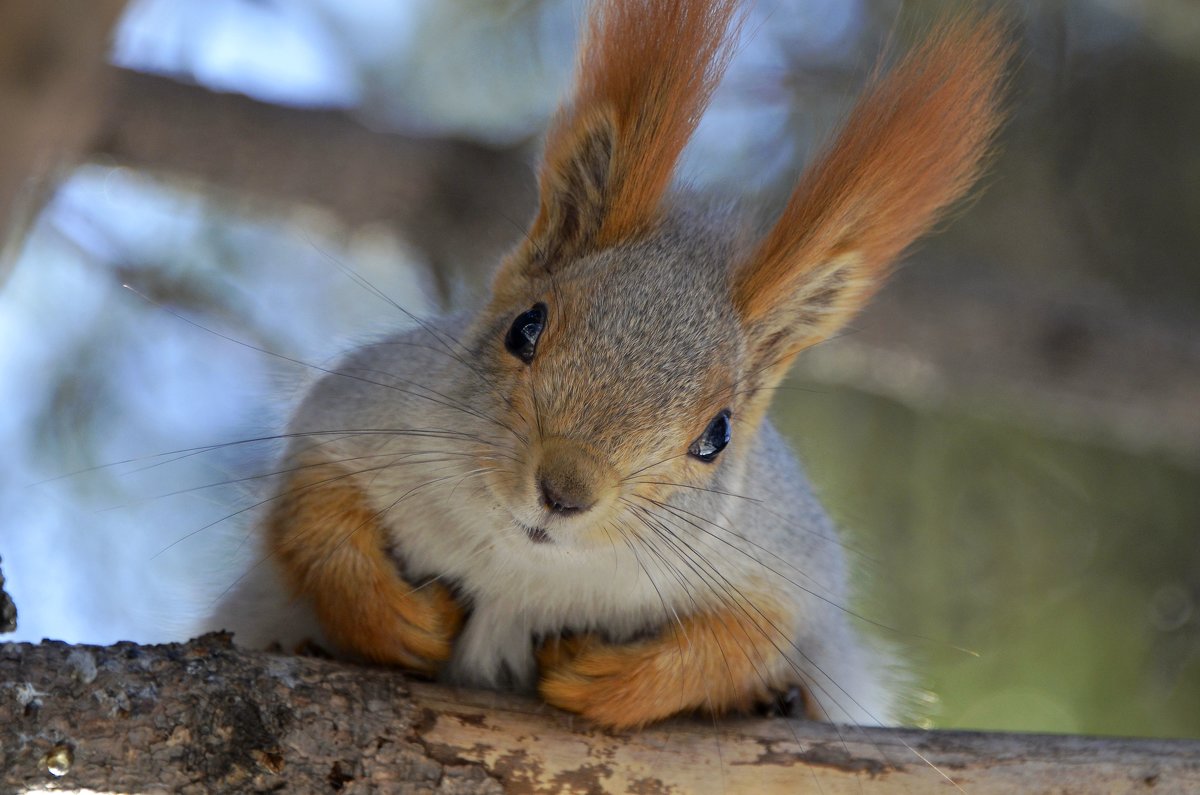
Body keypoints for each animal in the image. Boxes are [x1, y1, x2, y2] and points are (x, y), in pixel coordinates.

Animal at [204, 0, 1003, 734]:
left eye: (717, 435)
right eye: (525, 329)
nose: (565, 490)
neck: (527, 564)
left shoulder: (785, 560)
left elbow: (744, 638)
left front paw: (607, 679)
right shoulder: (361, 410)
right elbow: (313, 514)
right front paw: (396, 619)